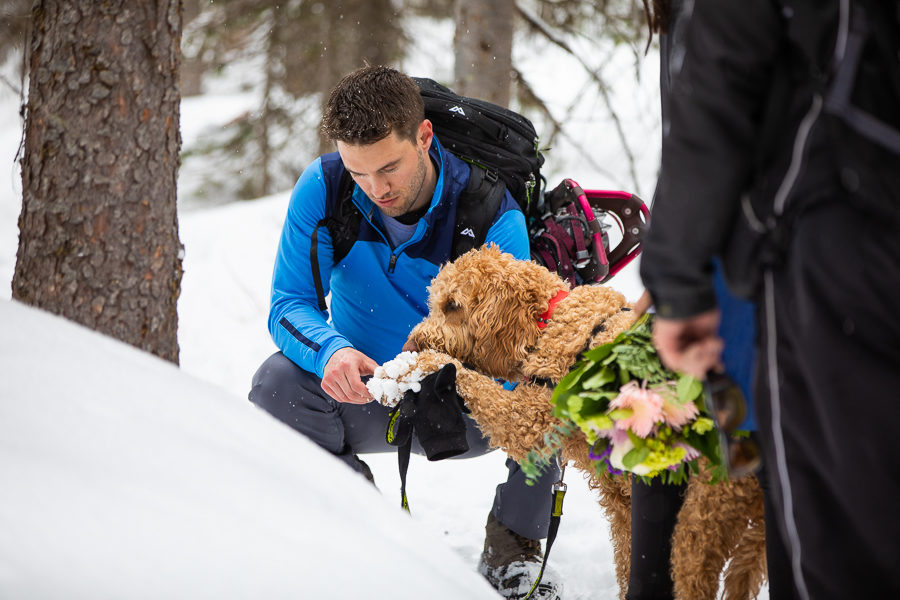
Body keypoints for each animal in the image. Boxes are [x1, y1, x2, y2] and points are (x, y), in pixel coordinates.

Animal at [400, 245, 768, 600]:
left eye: (453, 305)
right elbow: (627, 563)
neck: (552, 321)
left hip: (702, 517)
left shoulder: (528, 421)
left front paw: (425, 361)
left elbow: (474, 382)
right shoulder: (623, 504)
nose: (412, 342)